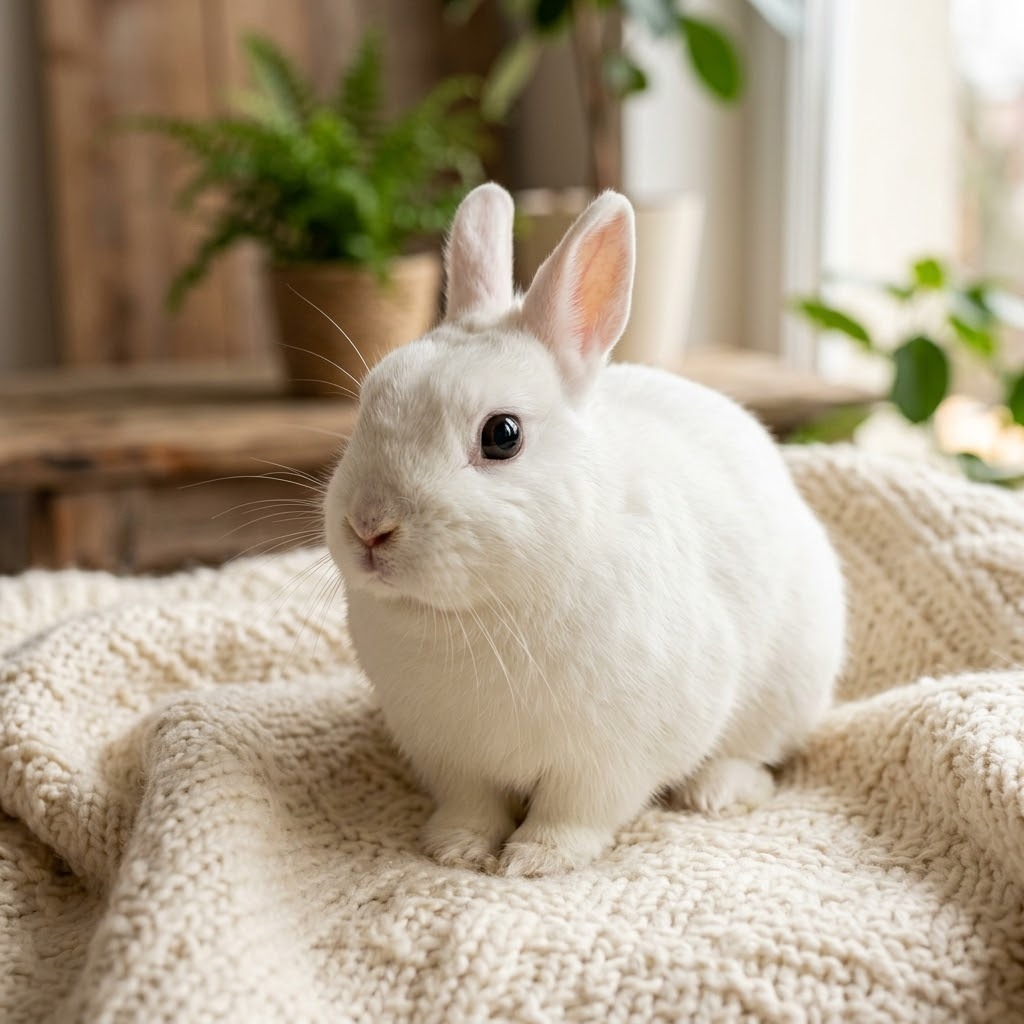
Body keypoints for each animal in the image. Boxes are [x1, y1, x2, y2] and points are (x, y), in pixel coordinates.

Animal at [323, 183, 846, 878]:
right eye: (367, 406)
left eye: (503, 435)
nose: (369, 527)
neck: (477, 616)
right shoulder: (448, 755)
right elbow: (472, 805)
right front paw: (455, 850)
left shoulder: (611, 758)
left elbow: (575, 810)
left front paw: (536, 861)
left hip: (792, 684)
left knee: (757, 753)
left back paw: (717, 792)